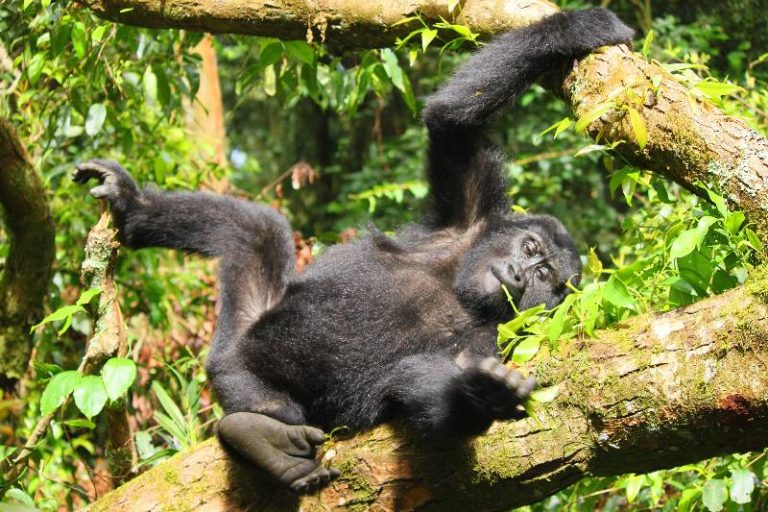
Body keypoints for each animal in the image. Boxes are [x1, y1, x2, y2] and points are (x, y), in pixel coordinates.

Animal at [73, 7, 633, 494]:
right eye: (531, 247)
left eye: (546, 280)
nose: (519, 272)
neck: (463, 287)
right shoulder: (471, 215)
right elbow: (454, 117)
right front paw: (583, 26)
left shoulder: (501, 338)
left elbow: (426, 389)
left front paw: (482, 396)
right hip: (241, 335)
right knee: (256, 230)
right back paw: (135, 206)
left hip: (247, 378)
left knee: (288, 395)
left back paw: (260, 438)